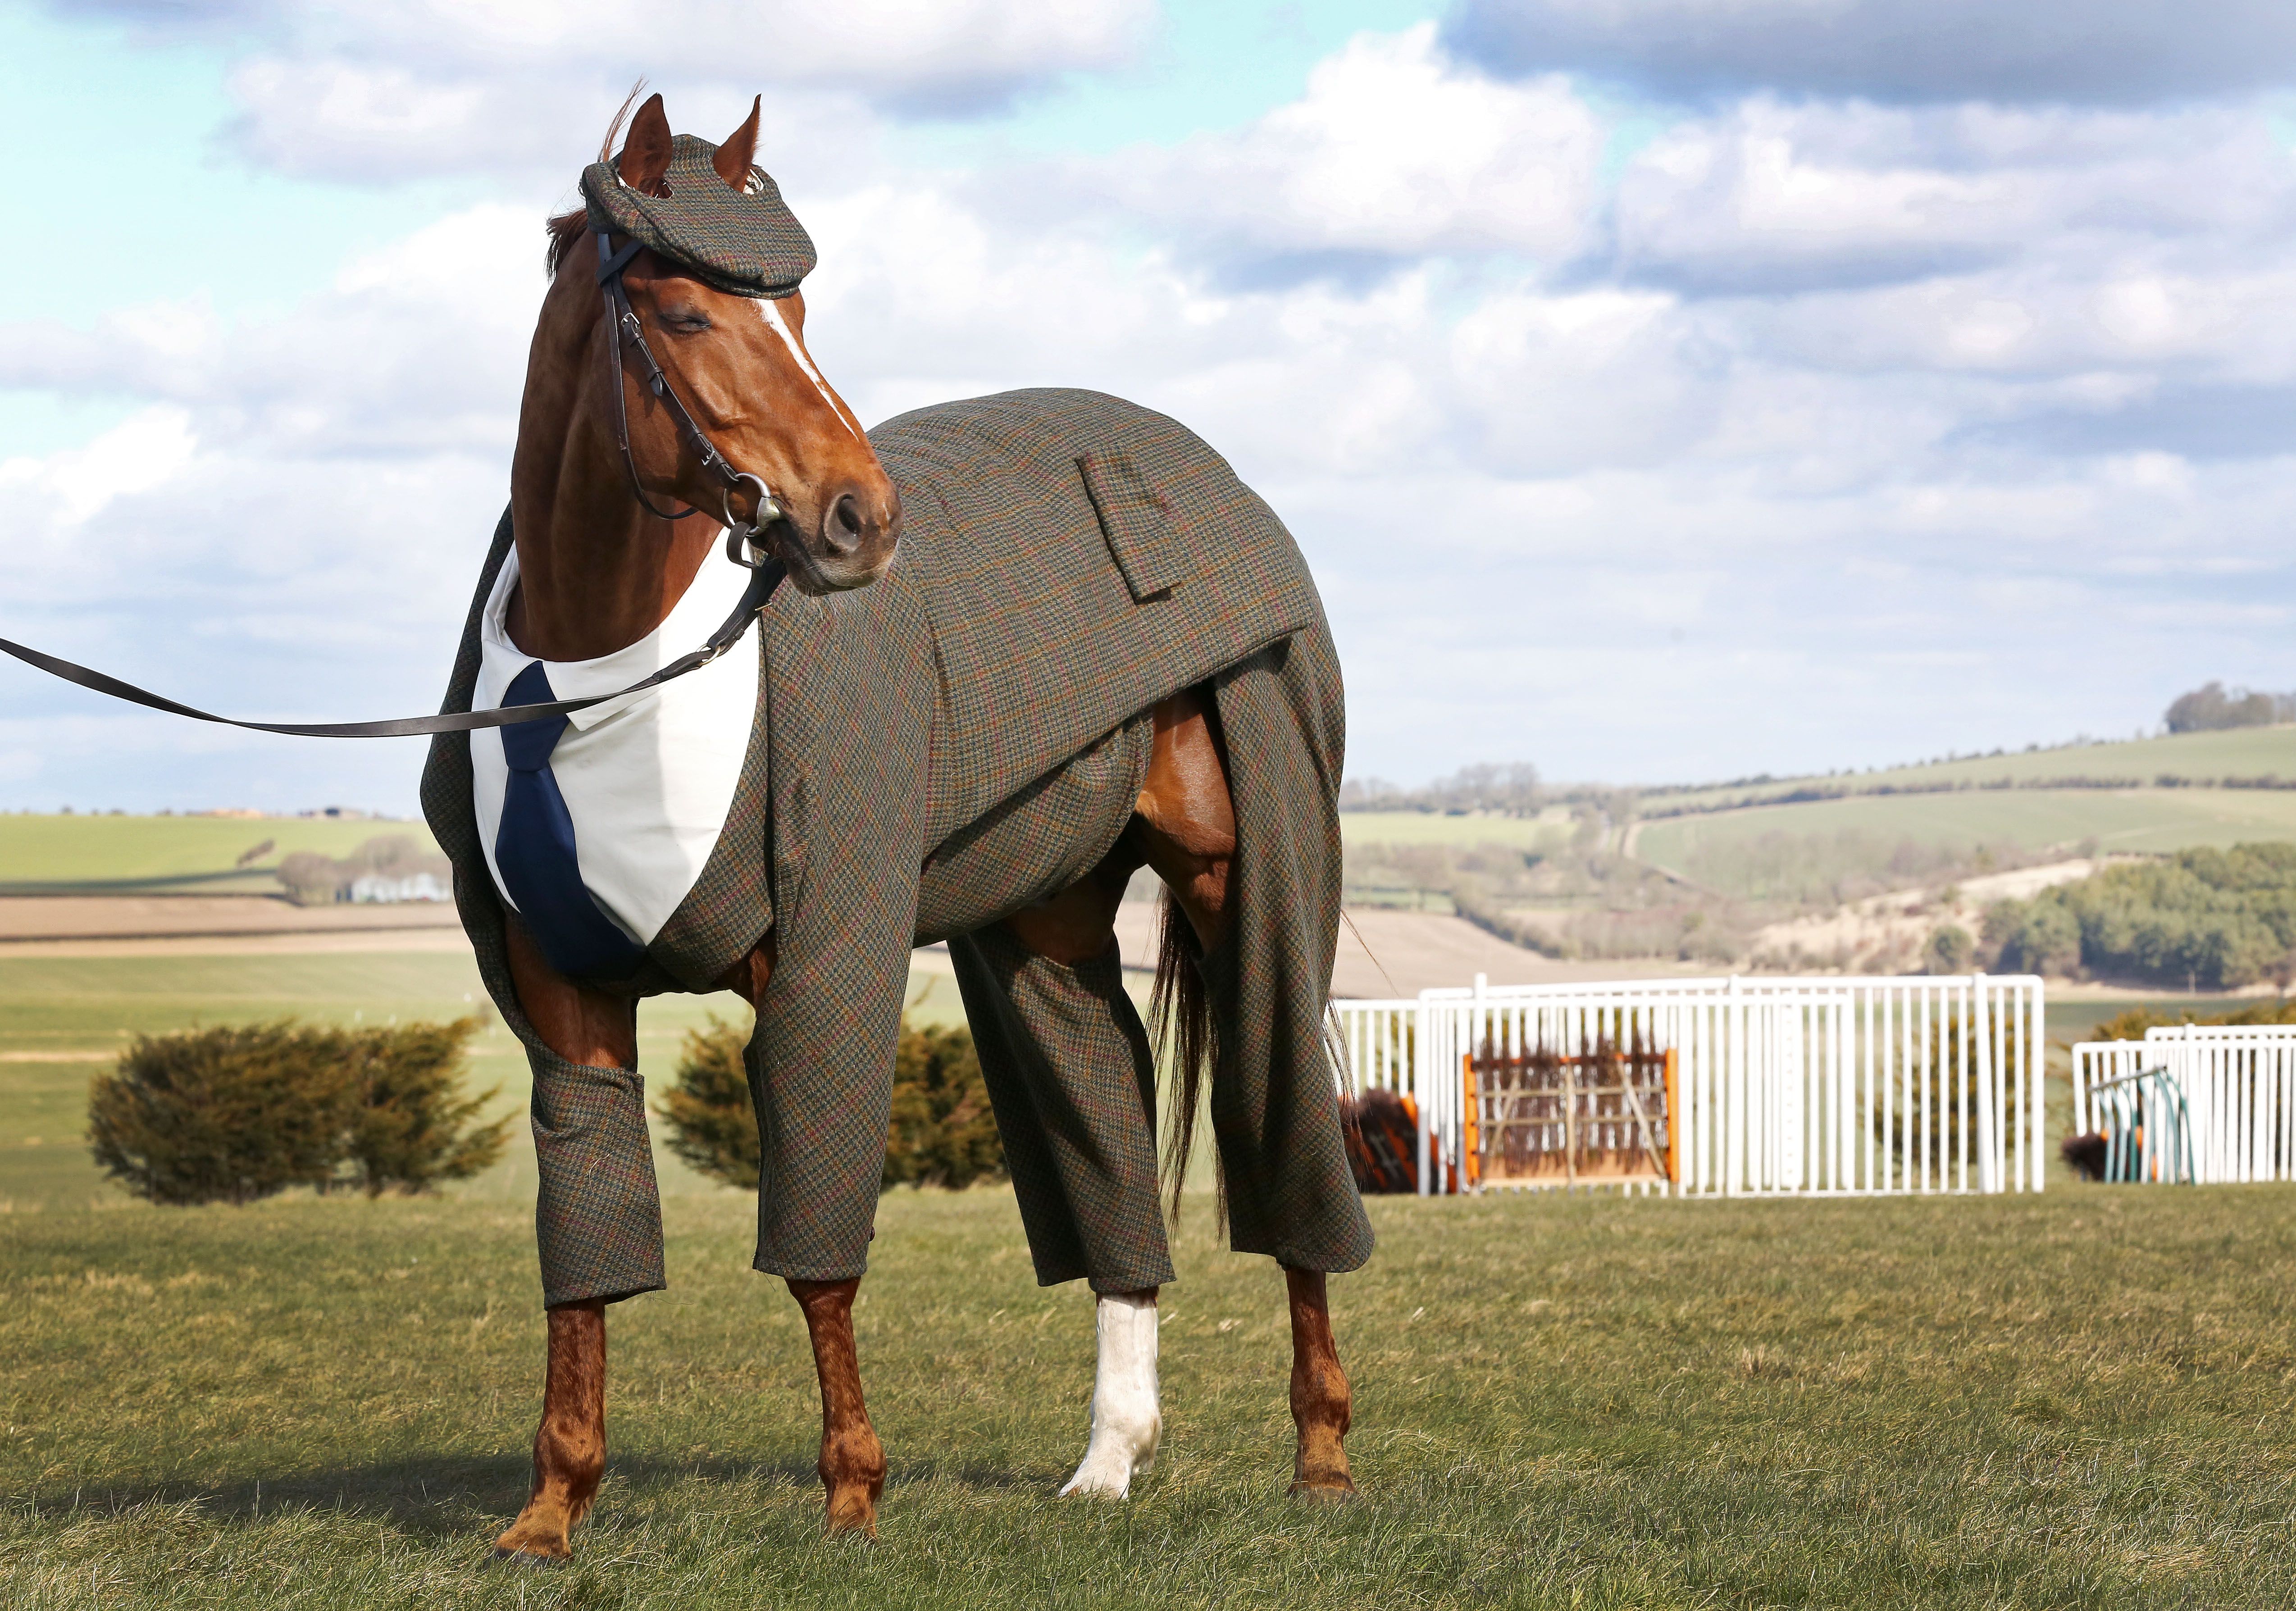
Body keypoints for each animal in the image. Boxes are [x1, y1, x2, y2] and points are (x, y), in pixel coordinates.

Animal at [422, 88, 1368, 1560]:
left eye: (798, 308)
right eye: (685, 311)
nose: (857, 518)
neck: (609, 672)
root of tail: (1193, 468)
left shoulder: (824, 955)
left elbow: (819, 1247)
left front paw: (853, 1488)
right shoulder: (563, 995)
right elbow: (586, 1253)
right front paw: (550, 1507)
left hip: (1249, 874)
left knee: (1287, 1129)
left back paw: (1321, 1455)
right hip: (1041, 926)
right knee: (1107, 1146)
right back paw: (1108, 1461)